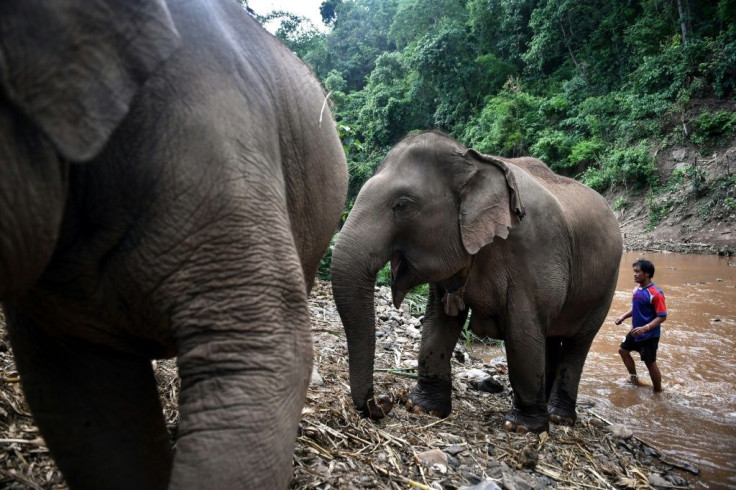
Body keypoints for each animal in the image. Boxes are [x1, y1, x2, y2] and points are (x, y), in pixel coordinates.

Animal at [334, 130, 620, 432]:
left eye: (401, 205)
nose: (383, 403)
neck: (475, 161)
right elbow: (438, 322)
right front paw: (423, 408)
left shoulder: (536, 252)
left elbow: (522, 331)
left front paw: (522, 427)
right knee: (552, 339)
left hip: (604, 289)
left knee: (578, 344)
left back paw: (558, 417)